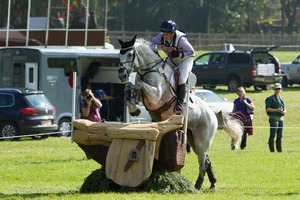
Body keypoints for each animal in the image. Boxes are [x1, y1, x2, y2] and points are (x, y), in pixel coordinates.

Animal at [116, 35, 243, 190]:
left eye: (129, 54)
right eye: (119, 54)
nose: (122, 75)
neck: (149, 70)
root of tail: (211, 112)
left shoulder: (156, 96)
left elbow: (139, 85)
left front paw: (134, 104)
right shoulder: (144, 96)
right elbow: (130, 86)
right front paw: (134, 108)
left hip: (202, 139)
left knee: (203, 161)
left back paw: (197, 185)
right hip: (192, 138)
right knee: (206, 159)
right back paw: (212, 183)